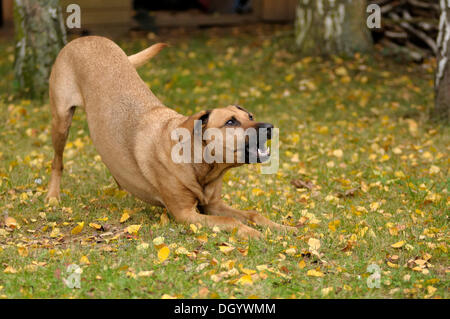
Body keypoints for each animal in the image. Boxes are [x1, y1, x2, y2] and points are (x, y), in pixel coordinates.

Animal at [47, 36, 296, 239]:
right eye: (230, 122)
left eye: (250, 116)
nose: (270, 127)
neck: (201, 165)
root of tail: (86, 38)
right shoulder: (185, 214)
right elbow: (229, 221)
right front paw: (252, 233)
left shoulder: (213, 205)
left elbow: (253, 214)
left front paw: (282, 228)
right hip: (61, 121)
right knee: (57, 162)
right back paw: (52, 196)